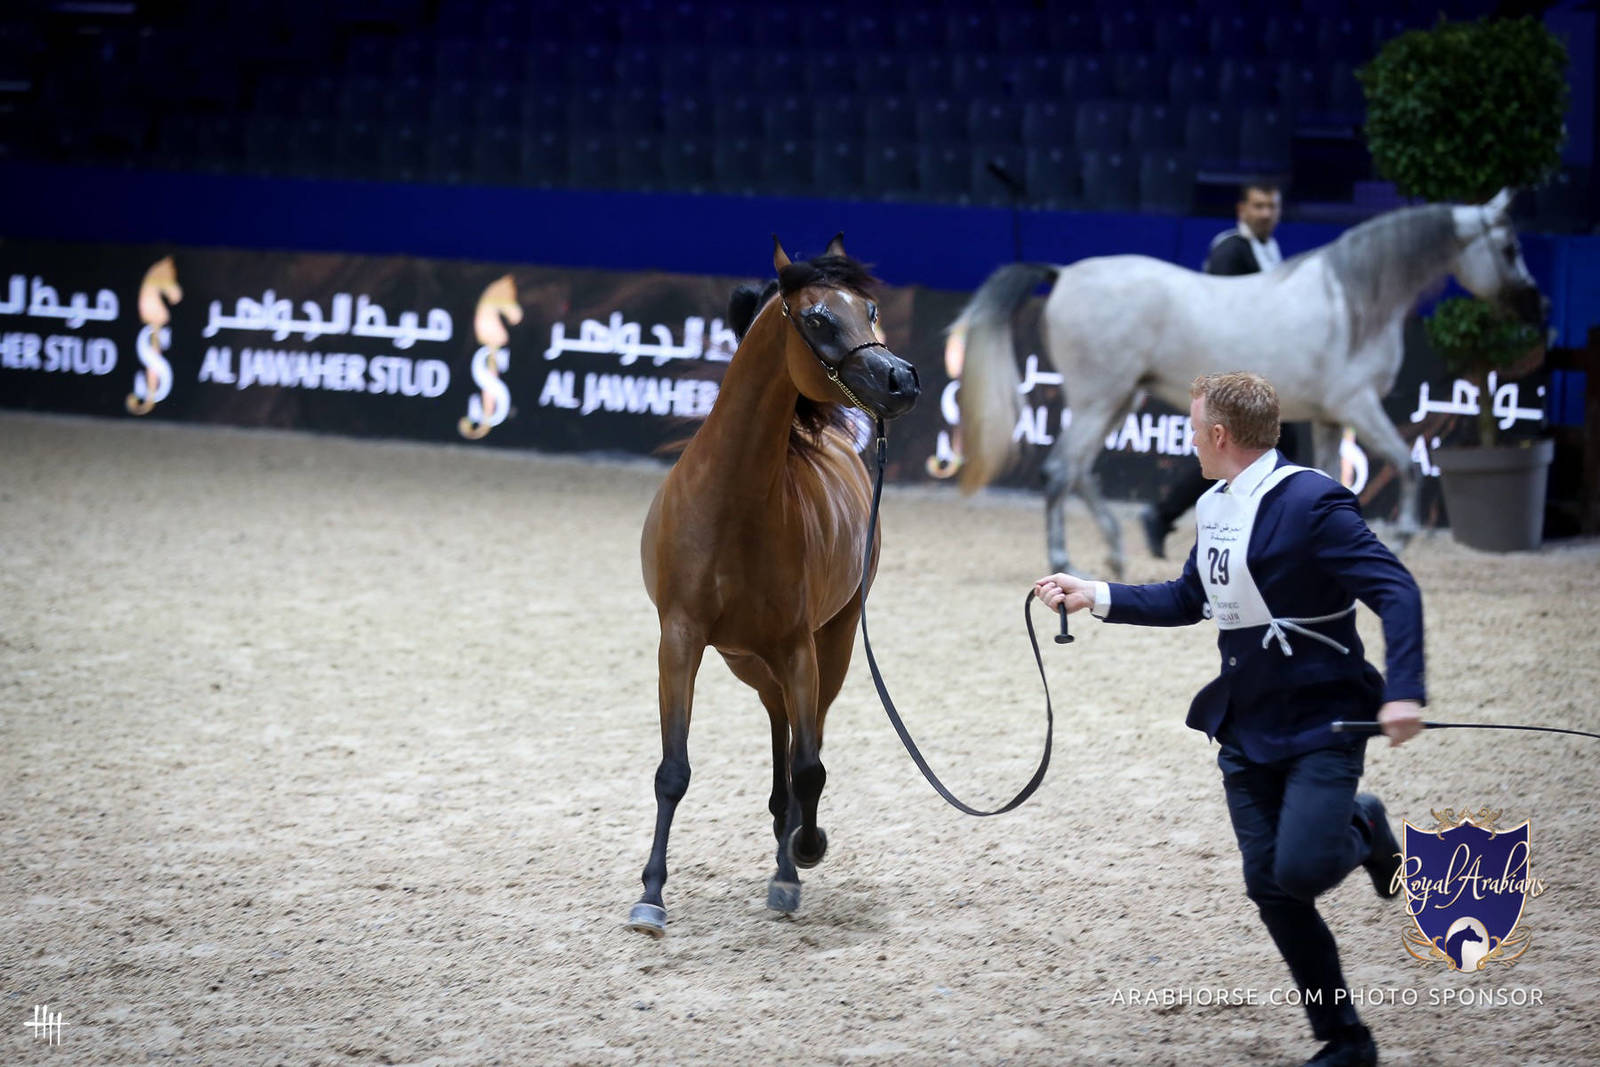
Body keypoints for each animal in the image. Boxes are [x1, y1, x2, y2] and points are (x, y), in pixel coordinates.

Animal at [628, 235, 920, 937]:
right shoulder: (680, 640)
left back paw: (790, 858)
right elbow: (672, 770)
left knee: (801, 748)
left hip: (828, 647)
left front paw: (802, 857)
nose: (901, 379)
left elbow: (810, 770)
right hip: (747, 661)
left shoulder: (798, 647)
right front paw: (651, 895)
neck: (733, 501)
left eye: (871, 309)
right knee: (779, 726)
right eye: (817, 318)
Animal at [950, 189, 1547, 578]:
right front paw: (1401, 536)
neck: (1354, 302)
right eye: (1510, 249)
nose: (1533, 306)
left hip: (1119, 398)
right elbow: (1407, 464)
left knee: (1077, 470)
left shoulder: (1329, 418)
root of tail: (1065, 273)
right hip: (1101, 399)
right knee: (1060, 469)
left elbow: (1334, 480)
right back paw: (1066, 560)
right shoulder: (1357, 405)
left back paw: (1117, 553)